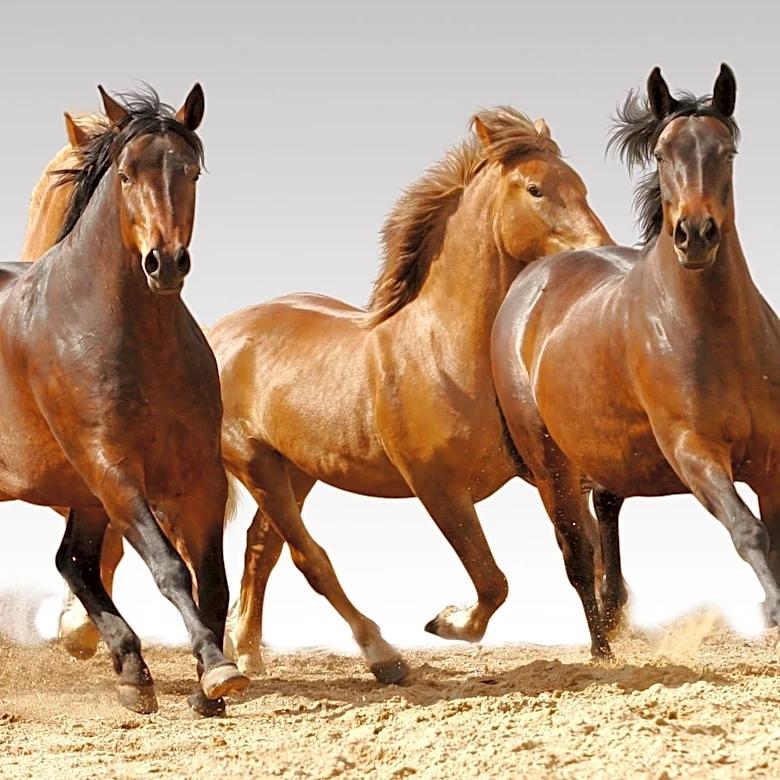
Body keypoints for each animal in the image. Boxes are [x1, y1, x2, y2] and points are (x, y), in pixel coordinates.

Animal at [0, 84, 249, 716]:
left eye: (190, 171)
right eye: (127, 174)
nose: (166, 263)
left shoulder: (199, 477)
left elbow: (212, 579)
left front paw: (209, 686)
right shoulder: (111, 468)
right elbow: (169, 569)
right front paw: (216, 669)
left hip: (83, 492)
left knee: (74, 561)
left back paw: (132, 669)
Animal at [205, 106, 620, 680]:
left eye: (580, 185)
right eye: (536, 188)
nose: (599, 253)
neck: (444, 349)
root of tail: (219, 333)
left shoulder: (547, 471)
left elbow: (579, 552)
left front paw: (608, 646)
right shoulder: (437, 487)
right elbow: (492, 580)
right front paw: (446, 621)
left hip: (297, 470)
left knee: (260, 549)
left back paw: (247, 653)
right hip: (255, 463)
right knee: (309, 558)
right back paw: (383, 657)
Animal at [492, 64, 780, 660]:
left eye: (727, 152)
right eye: (663, 154)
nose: (695, 235)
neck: (718, 336)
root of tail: (530, 283)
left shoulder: (775, 460)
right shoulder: (694, 452)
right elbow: (748, 531)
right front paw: (774, 611)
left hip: (607, 450)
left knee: (605, 513)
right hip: (550, 462)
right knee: (576, 552)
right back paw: (602, 653)